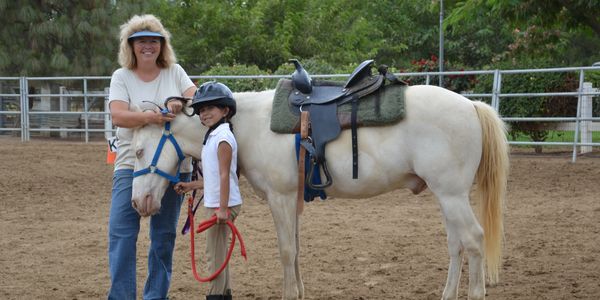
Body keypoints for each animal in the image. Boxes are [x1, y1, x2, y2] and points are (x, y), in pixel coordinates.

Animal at [129, 85, 508, 300]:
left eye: (139, 151)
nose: (138, 202)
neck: (248, 126)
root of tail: (472, 106)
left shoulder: (281, 199)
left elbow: (286, 252)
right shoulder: (292, 201)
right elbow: (296, 251)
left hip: (452, 196)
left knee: (474, 239)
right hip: (446, 197)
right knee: (456, 245)